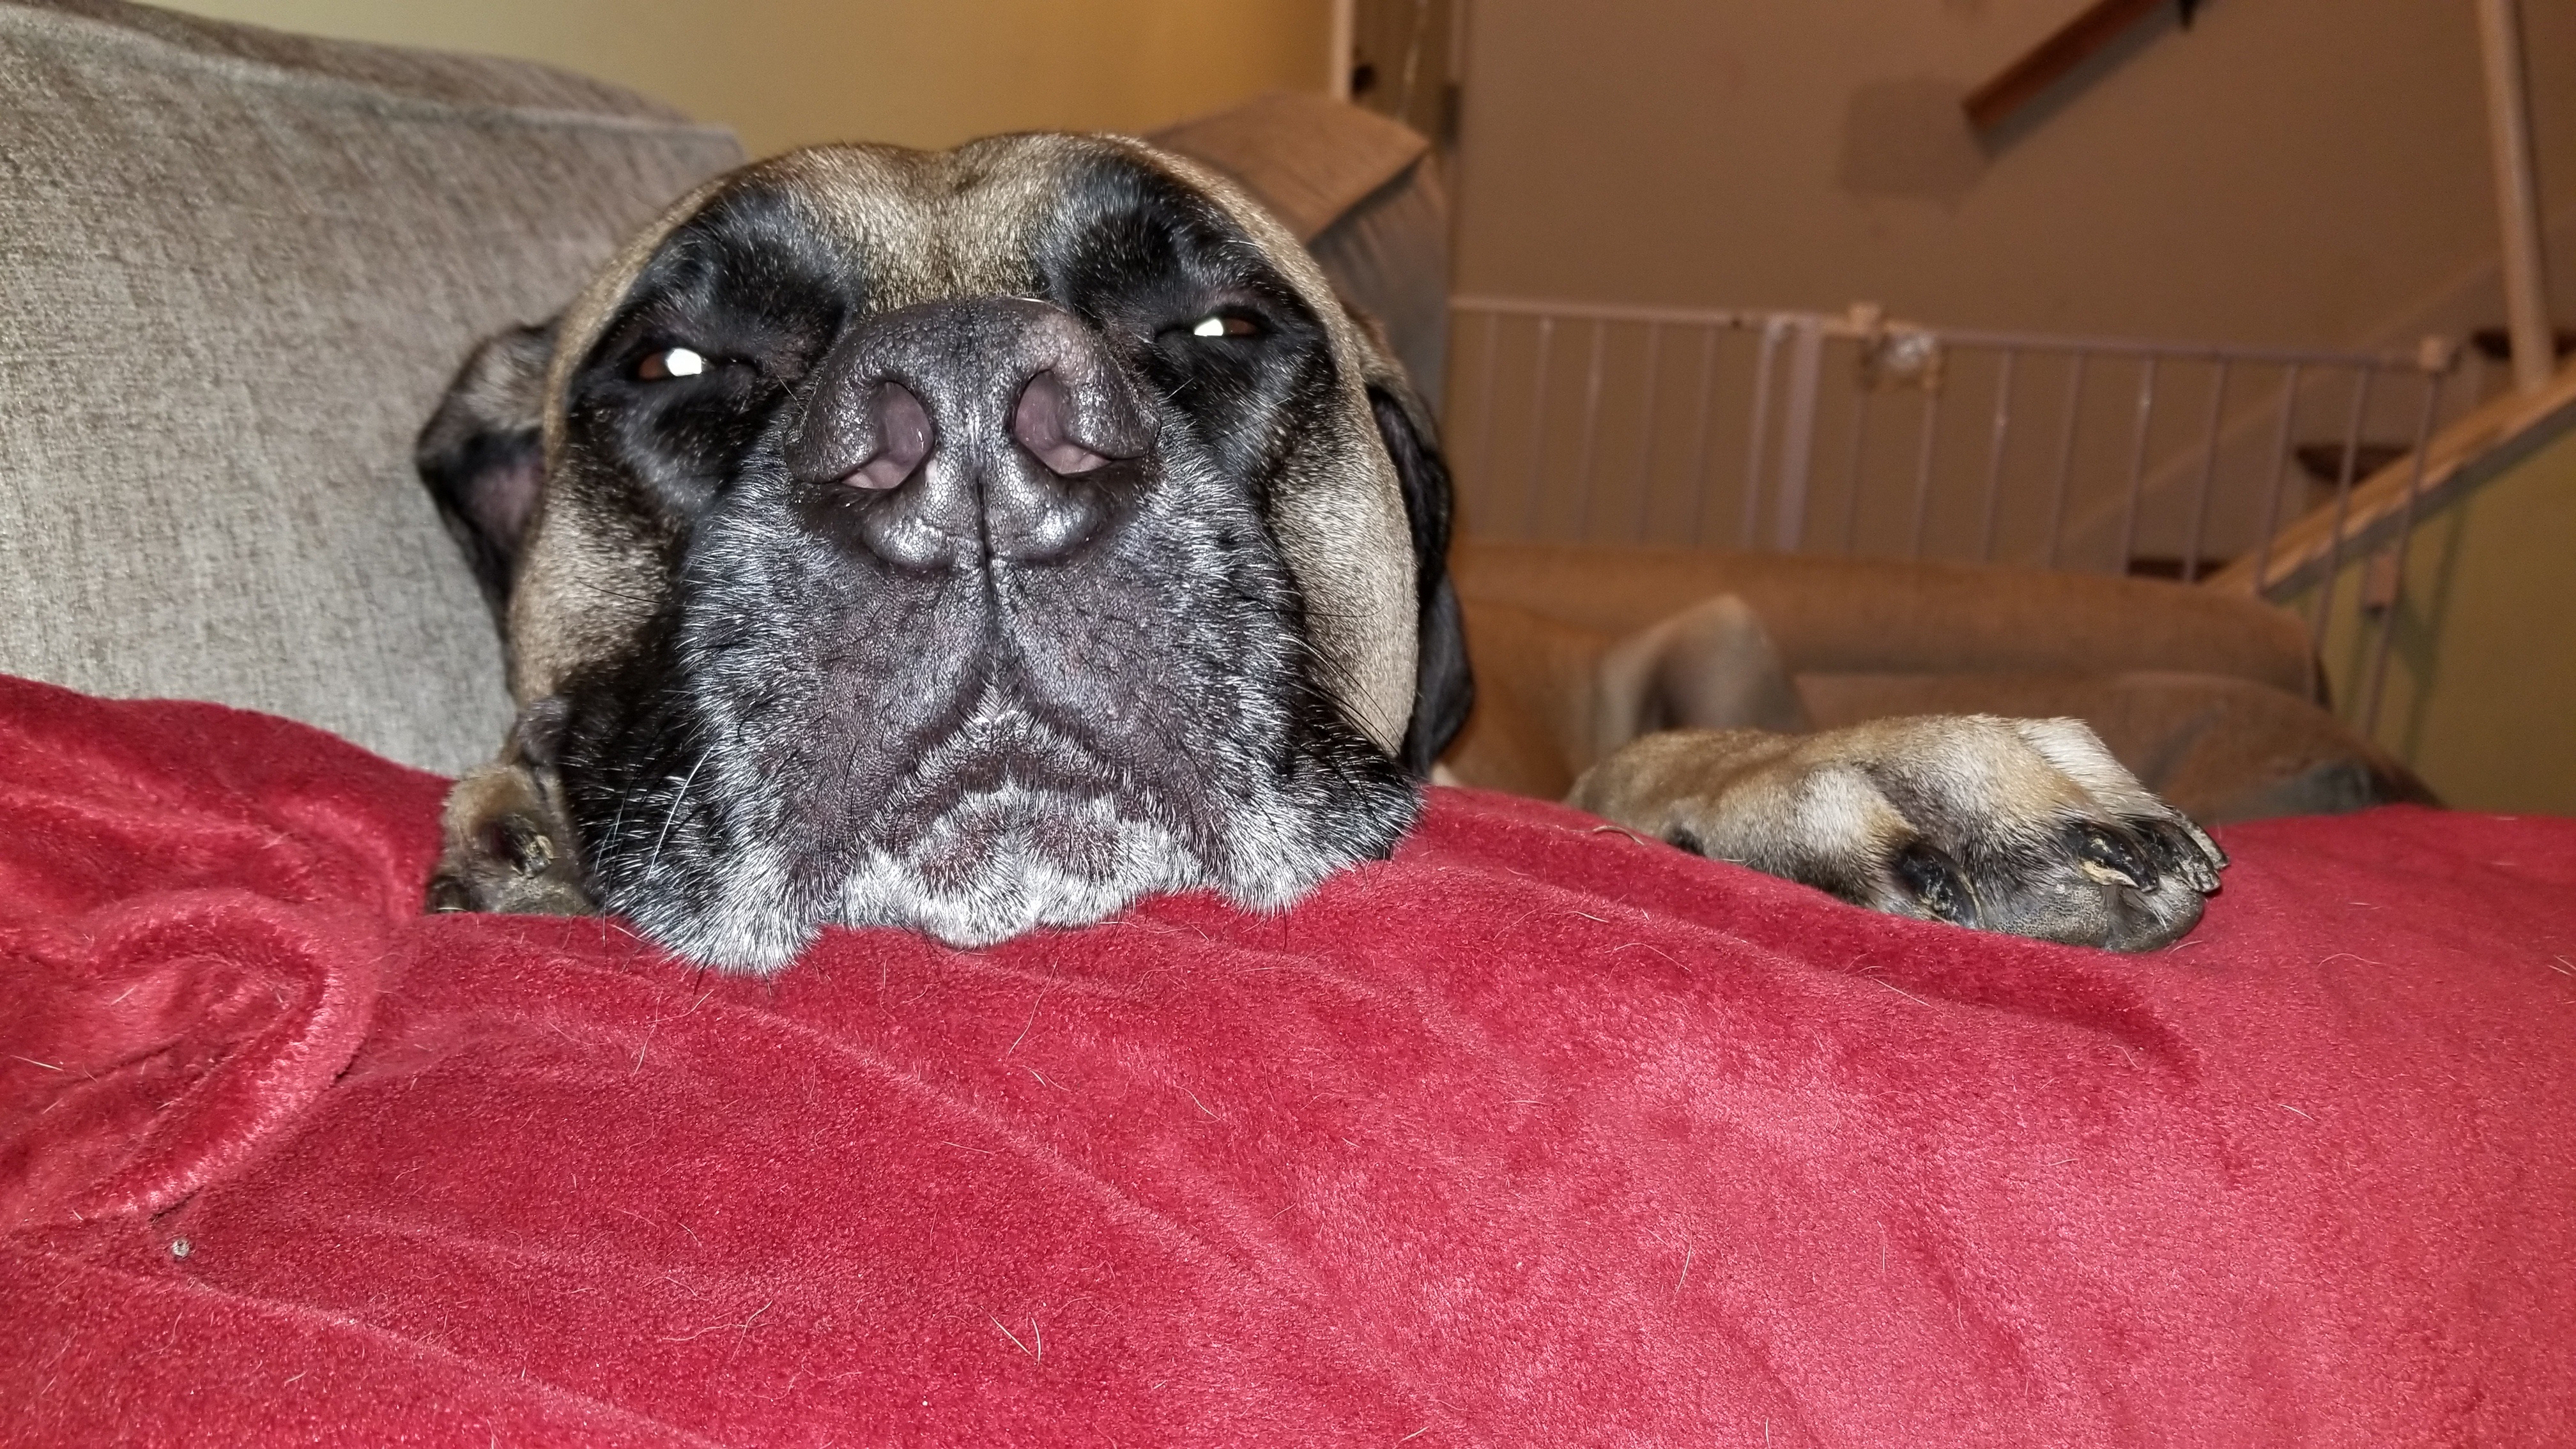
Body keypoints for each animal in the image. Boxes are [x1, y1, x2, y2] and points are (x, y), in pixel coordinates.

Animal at [412, 137, 2225, 969]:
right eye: (681, 365)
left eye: (1218, 326)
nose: (975, 417)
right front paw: (525, 825)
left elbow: (1632, 784)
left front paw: (1876, 777)